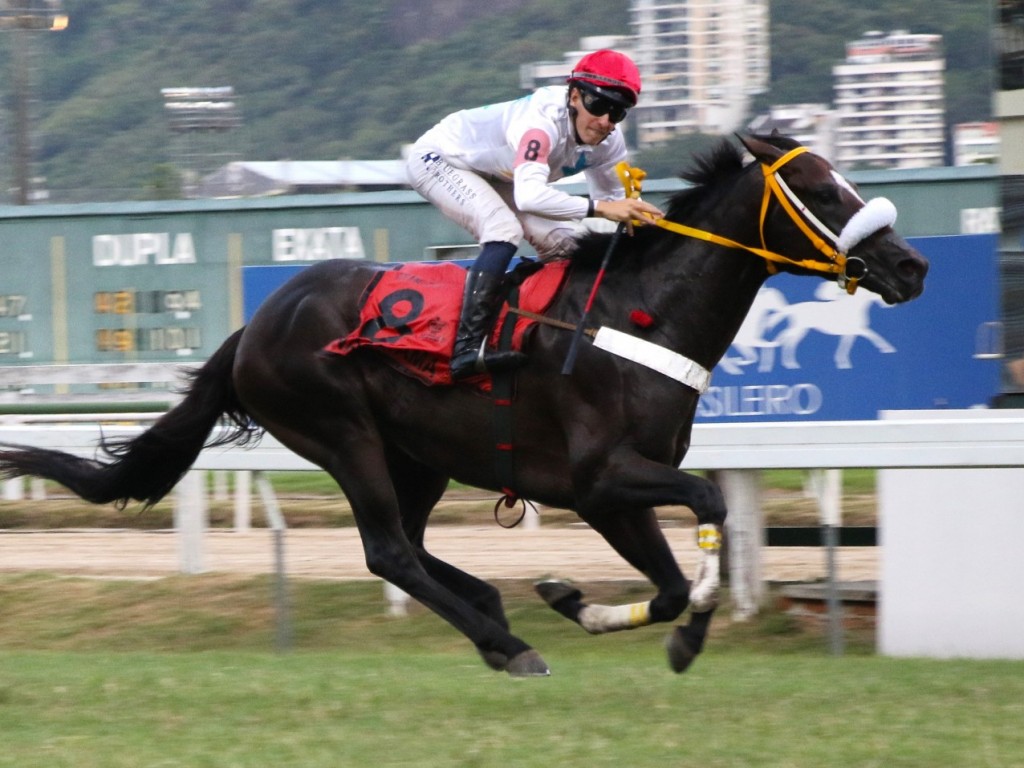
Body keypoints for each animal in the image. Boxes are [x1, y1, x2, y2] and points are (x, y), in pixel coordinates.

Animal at [0, 135, 929, 675]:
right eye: (823, 190)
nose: (911, 265)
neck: (641, 313)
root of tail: (255, 322)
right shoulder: (599, 480)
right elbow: (703, 511)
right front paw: (635, 620)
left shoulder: (616, 490)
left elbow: (678, 573)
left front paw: (589, 603)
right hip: (341, 434)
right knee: (388, 551)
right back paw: (505, 643)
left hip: (417, 457)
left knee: (410, 546)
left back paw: (492, 607)